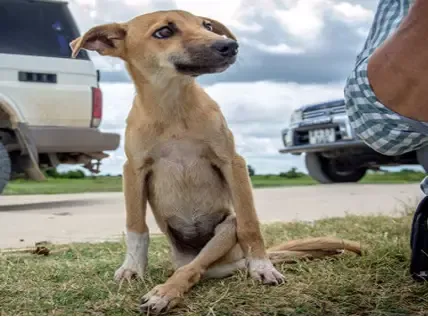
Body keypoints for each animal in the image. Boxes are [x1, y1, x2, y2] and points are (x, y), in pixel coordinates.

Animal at [71, 9, 362, 314]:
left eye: (207, 26)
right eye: (163, 32)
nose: (230, 46)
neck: (172, 106)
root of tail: (227, 261)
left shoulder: (232, 163)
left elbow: (250, 223)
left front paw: (263, 267)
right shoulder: (134, 169)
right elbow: (136, 227)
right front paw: (132, 268)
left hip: (224, 231)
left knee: (196, 268)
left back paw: (167, 292)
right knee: (191, 268)